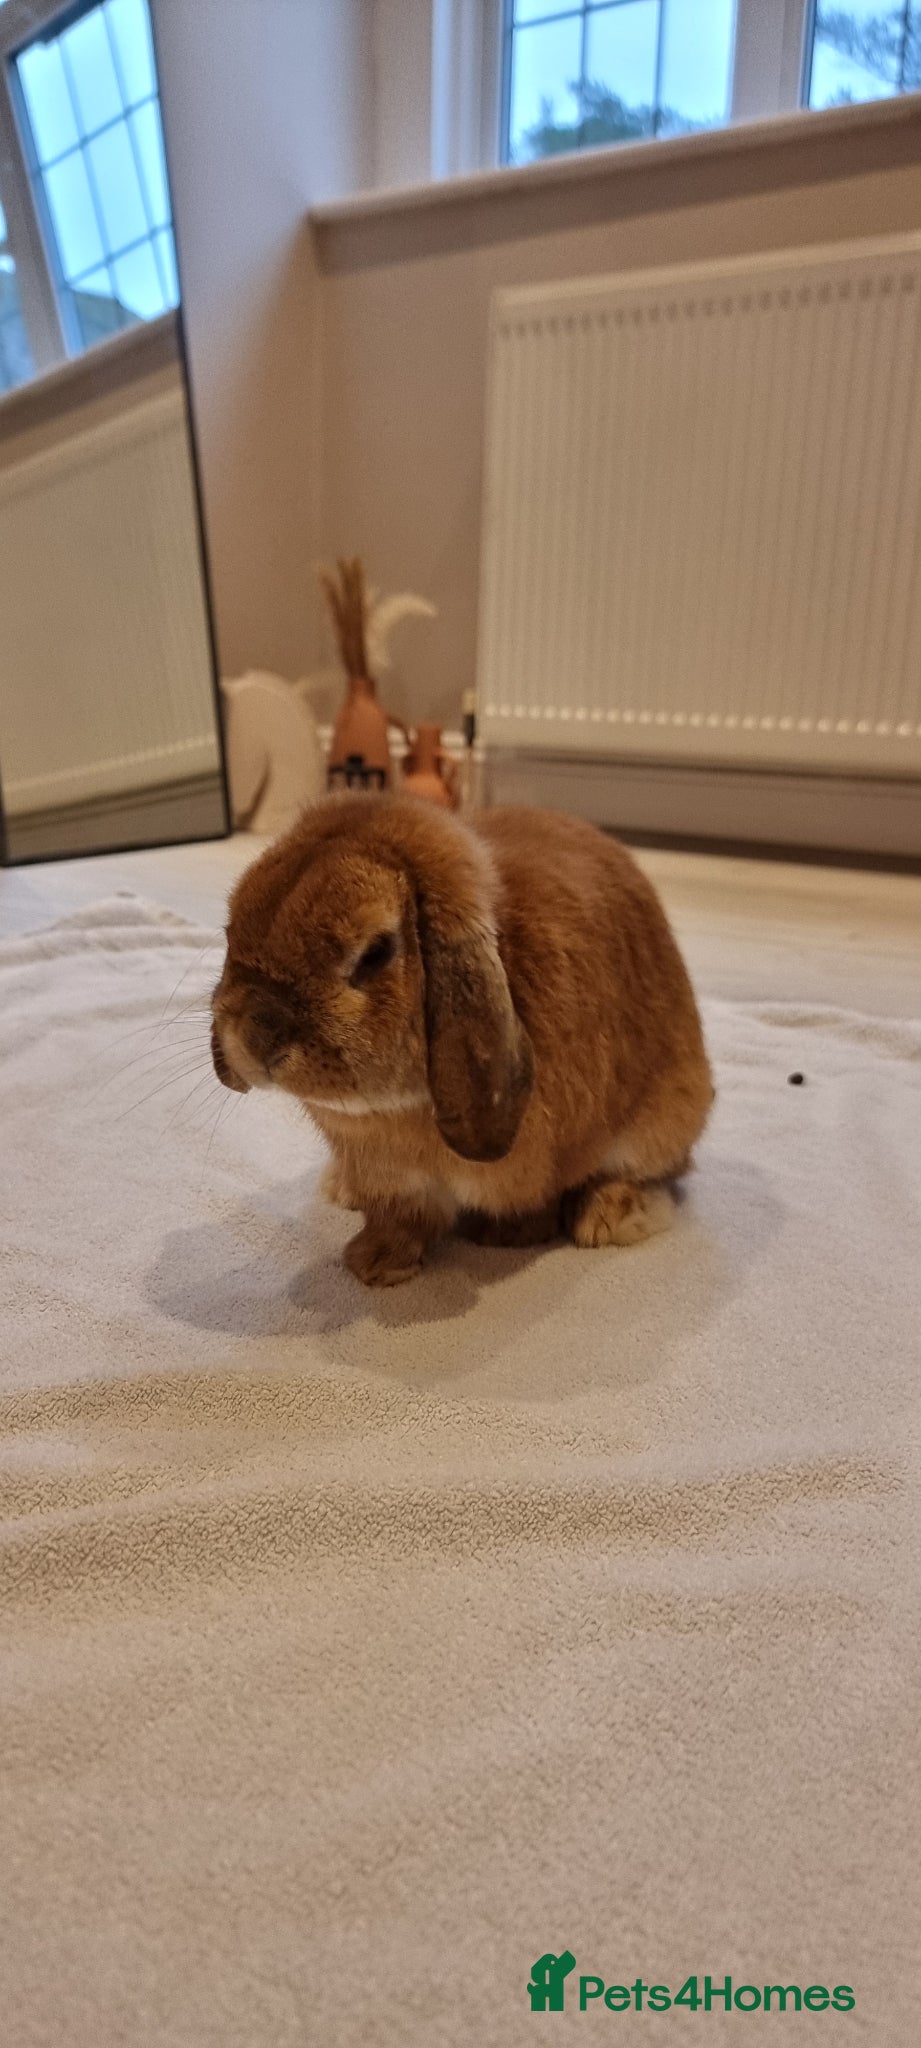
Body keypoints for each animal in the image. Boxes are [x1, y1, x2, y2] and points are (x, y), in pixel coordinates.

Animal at [211, 794, 714, 1286]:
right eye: (230, 929)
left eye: (375, 953)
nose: (256, 1037)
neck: (393, 1113)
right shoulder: (392, 1179)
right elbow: (402, 1219)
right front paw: (375, 1264)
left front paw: (508, 1234)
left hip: (669, 1113)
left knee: (651, 1170)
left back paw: (609, 1218)